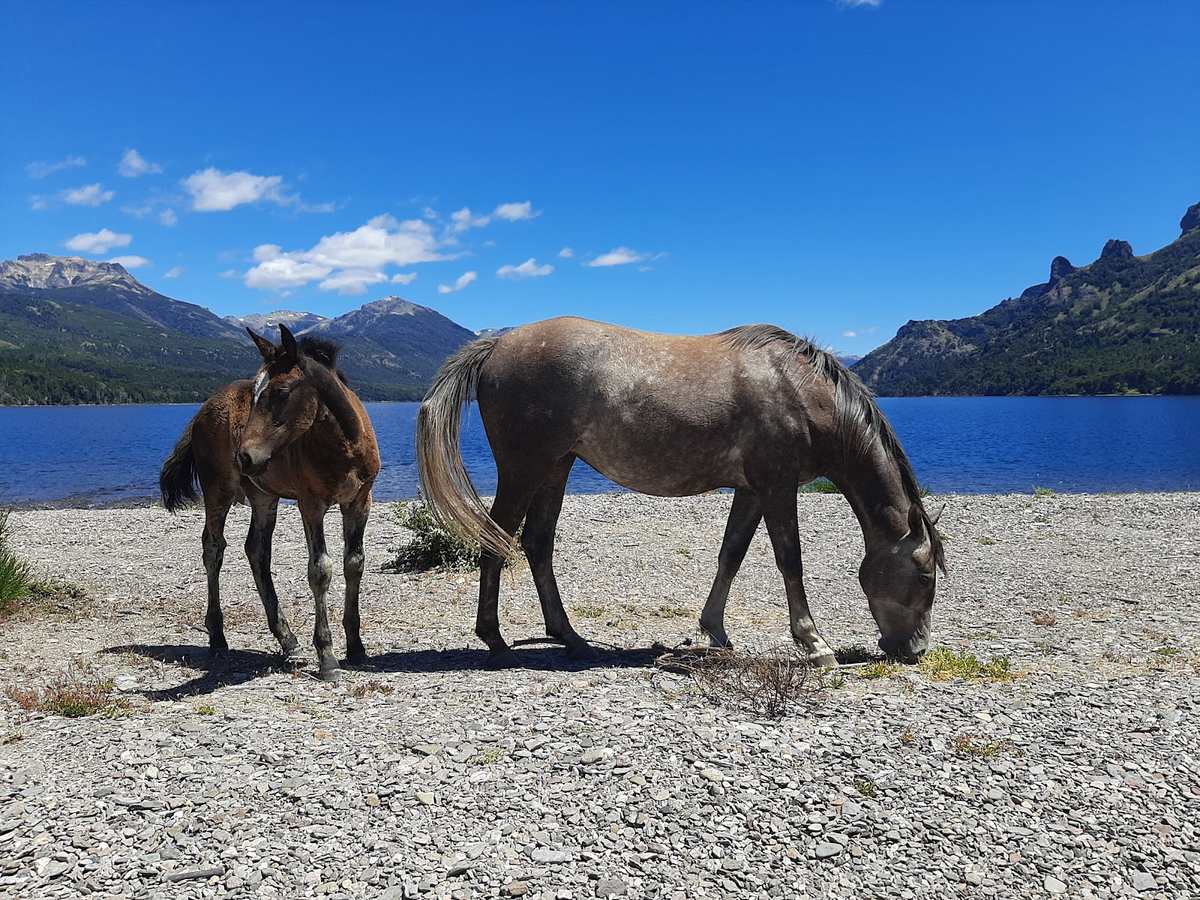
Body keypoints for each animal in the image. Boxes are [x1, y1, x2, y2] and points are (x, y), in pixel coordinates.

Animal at [159, 324, 380, 681]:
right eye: (255, 393)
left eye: (281, 391)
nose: (244, 456)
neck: (343, 444)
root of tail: (201, 411)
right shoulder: (310, 503)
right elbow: (320, 570)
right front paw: (328, 657)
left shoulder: (361, 501)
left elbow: (354, 563)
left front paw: (357, 647)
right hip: (218, 489)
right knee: (213, 548)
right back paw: (217, 637)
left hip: (264, 496)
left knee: (256, 550)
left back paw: (287, 640)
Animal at [417, 316, 945, 670]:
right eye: (924, 578)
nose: (915, 650)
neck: (797, 389)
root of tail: (500, 342)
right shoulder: (777, 487)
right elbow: (789, 561)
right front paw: (815, 645)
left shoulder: (752, 491)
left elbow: (731, 554)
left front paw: (715, 631)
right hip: (525, 469)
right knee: (496, 540)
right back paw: (494, 639)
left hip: (555, 468)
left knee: (537, 543)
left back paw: (570, 638)